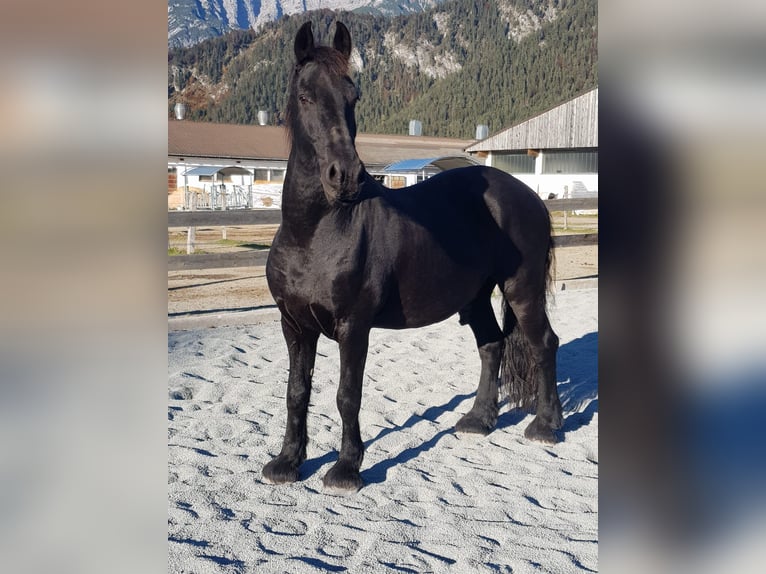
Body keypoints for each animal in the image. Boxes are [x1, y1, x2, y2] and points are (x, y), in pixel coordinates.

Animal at [263, 21, 563, 493]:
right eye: (305, 96)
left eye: (353, 96)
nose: (346, 176)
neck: (314, 234)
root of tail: (525, 194)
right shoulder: (294, 326)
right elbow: (297, 392)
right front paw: (287, 462)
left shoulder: (354, 327)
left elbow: (347, 395)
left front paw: (346, 469)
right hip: (476, 297)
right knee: (492, 345)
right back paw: (478, 421)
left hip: (522, 290)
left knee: (543, 344)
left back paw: (546, 426)